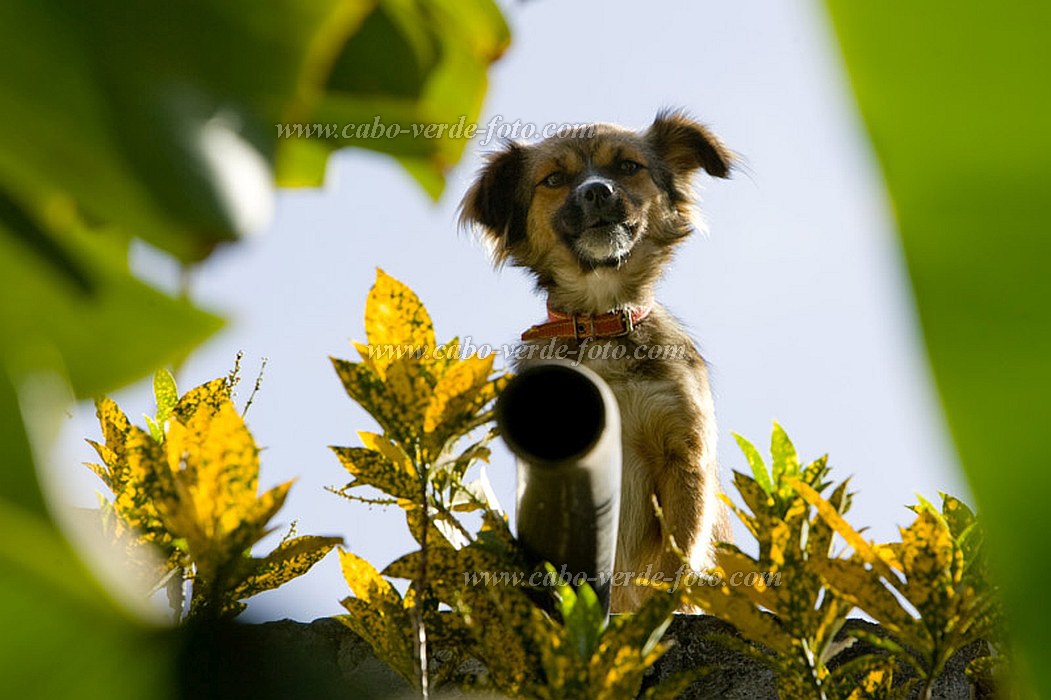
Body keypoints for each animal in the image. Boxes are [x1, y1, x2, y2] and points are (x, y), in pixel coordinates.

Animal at [464, 109, 735, 609]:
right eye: (554, 179)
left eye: (627, 167)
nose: (597, 191)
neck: (600, 318)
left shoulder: (683, 455)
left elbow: (675, 562)